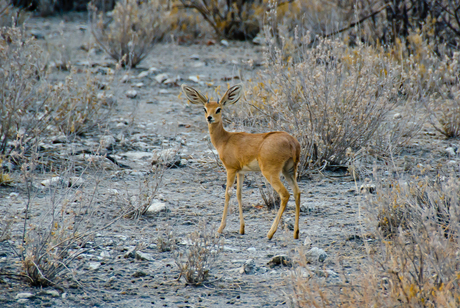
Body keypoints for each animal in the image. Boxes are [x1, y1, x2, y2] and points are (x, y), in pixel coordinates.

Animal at [181, 84, 304, 241]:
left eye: (218, 109)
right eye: (204, 108)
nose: (209, 118)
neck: (225, 140)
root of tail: (292, 141)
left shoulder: (230, 170)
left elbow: (228, 193)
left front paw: (220, 228)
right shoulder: (241, 172)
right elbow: (239, 194)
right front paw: (241, 229)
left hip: (271, 173)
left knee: (285, 195)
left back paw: (270, 233)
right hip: (289, 171)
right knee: (297, 193)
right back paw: (296, 233)